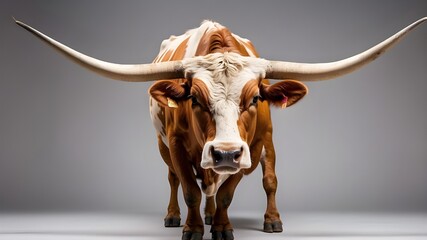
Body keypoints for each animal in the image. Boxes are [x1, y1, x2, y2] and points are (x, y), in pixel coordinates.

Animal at [15, 17, 426, 240]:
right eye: (195, 99)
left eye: (254, 98)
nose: (225, 151)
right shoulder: (177, 146)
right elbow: (189, 190)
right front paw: (193, 227)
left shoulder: (254, 147)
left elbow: (231, 192)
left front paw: (225, 225)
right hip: (163, 147)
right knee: (177, 181)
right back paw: (175, 216)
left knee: (265, 181)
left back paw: (265, 219)